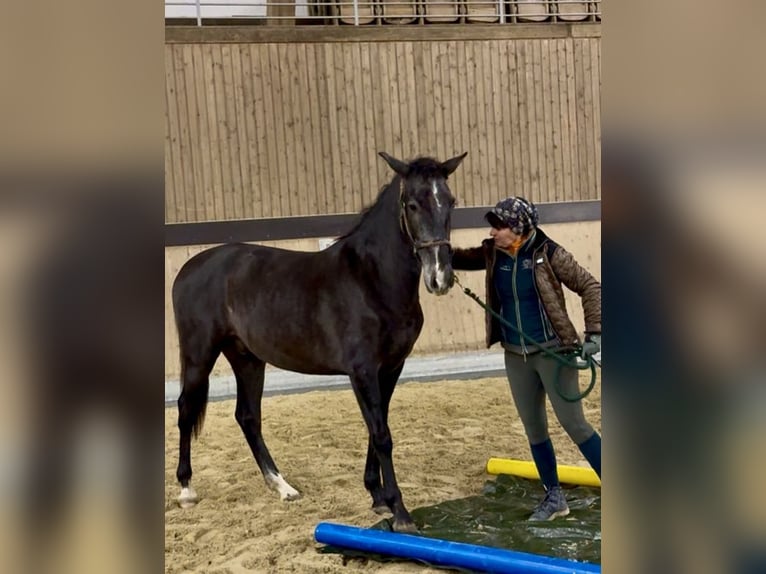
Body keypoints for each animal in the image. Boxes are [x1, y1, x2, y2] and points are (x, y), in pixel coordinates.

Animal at [173, 151, 468, 532]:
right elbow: (382, 434)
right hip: (199, 354)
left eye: (450, 200)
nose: (440, 278)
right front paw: (400, 511)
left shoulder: (390, 368)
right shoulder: (362, 371)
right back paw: (186, 490)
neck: (371, 280)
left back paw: (282, 487)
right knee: (185, 409)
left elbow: (377, 428)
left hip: (247, 358)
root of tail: (189, 268)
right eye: (412, 204)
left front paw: (377, 497)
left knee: (248, 416)